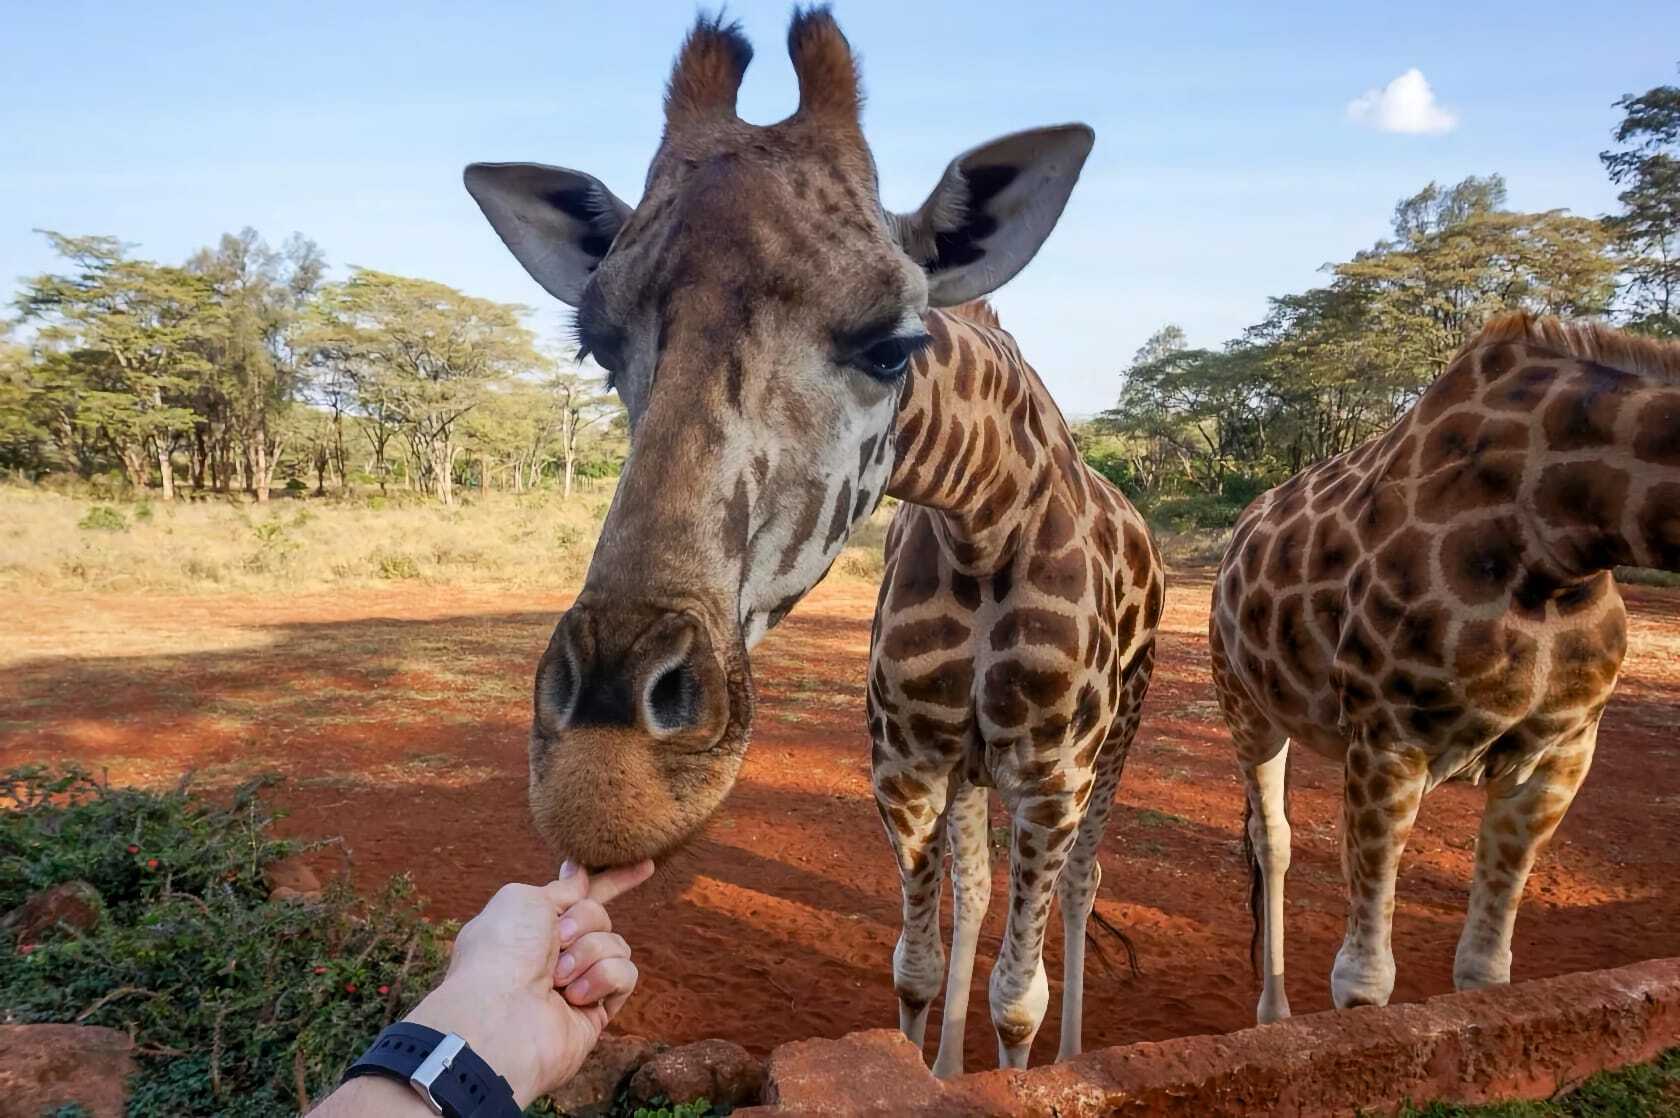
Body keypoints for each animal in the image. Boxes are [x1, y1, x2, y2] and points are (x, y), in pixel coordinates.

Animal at [869, 298, 1163, 1074]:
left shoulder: (1051, 778)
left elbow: (1018, 1001)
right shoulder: (909, 765)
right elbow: (915, 967)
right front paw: (927, 1075)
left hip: (1122, 727)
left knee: (1082, 881)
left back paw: (1072, 1054)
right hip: (970, 769)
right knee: (974, 891)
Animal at [1209, 312, 1680, 1025]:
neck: (1565, 540)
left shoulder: (1565, 750)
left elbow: (1485, 972)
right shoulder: (1386, 740)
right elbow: (1364, 982)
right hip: (1244, 700)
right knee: (1273, 841)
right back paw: (1273, 1015)